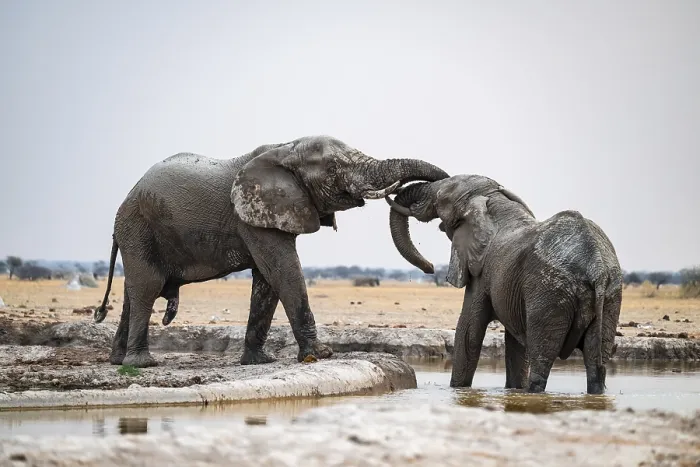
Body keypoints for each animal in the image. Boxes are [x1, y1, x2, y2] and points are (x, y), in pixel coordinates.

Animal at [94, 135, 449, 368]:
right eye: (335, 168)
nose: (432, 268)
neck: (286, 148)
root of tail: (124, 204)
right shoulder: (252, 214)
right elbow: (284, 269)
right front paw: (321, 355)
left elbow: (267, 281)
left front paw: (259, 361)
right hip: (138, 227)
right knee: (147, 287)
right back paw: (141, 364)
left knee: (132, 293)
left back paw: (117, 360)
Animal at [385, 174, 623, 394]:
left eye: (442, 198)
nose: (430, 268)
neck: (493, 199)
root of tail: (596, 268)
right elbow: (515, 343)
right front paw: (512, 390)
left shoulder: (483, 270)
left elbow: (469, 332)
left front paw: (458, 390)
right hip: (610, 295)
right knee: (595, 364)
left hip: (550, 293)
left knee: (541, 360)